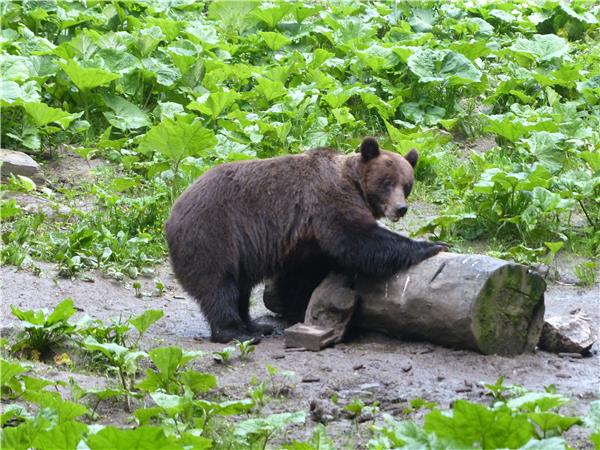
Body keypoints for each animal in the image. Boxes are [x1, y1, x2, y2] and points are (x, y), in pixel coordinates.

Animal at [164, 136, 446, 342]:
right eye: (386, 182)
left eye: (406, 184)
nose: (400, 208)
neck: (354, 185)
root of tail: (172, 213)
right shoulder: (327, 201)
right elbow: (358, 239)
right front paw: (431, 245)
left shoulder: (306, 240)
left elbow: (303, 275)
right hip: (213, 234)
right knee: (218, 286)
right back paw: (235, 332)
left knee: (239, 289)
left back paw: (255, 325)